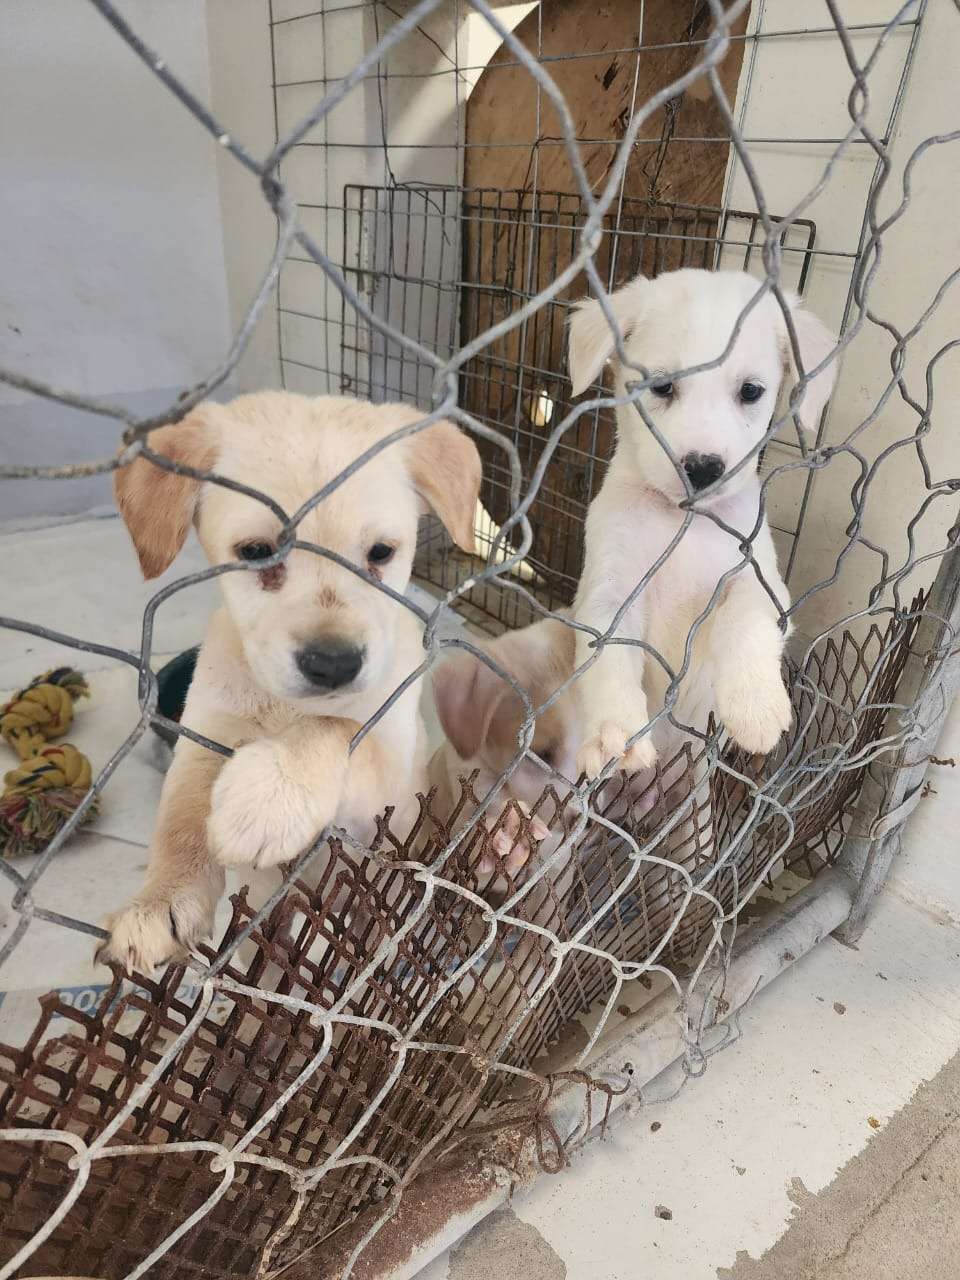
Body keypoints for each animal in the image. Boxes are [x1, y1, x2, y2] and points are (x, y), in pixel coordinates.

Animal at [99, 389, 481, 967]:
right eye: (258, 553)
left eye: (381, 553)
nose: (335, 665)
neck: (284, 707)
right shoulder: (204, 729)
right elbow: (181, 816)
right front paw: (160, 900)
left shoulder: (389, 759)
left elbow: (337, 726)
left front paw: (269, 796)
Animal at [568, 264, 839, 773]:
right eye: (661, 386)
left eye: (751, 391)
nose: (703, 468)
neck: (685, 523)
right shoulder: (609, 592)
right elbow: (611, 659)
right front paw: (616, 731)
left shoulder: (759, 578)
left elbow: (743, 620)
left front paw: (755, 708)